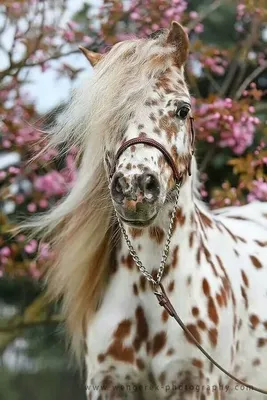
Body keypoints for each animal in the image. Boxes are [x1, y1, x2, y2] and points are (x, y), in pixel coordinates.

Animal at [35, 21, 267, 400]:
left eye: (182, 109)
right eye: (108, 115)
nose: (134, 187)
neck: (153, 290)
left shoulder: (196, 385)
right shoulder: (108, 384)